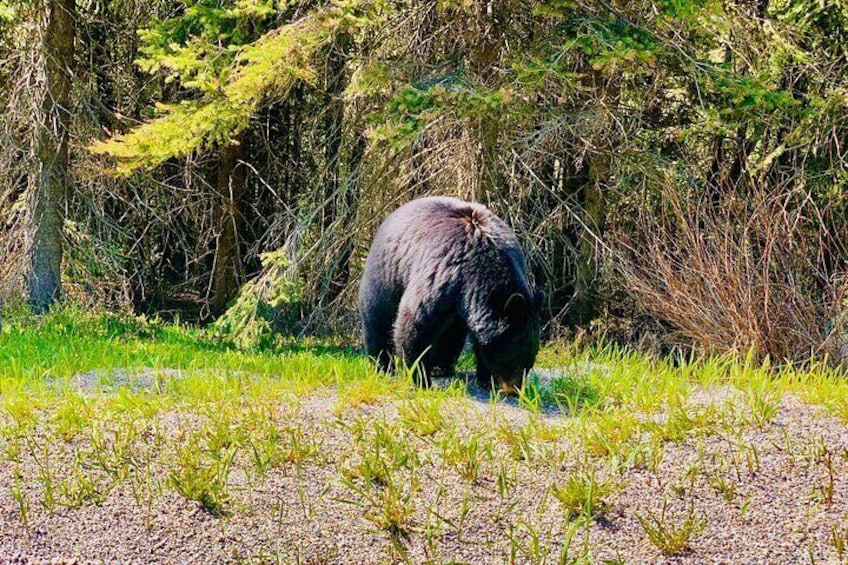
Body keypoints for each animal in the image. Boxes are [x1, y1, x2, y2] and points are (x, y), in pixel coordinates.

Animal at [358, 196, 543, 391]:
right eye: (513, 361)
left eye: (530, 361)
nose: (515, 391)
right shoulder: (441, 277)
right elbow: (414, 323)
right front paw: (420, 380)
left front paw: (486, 379)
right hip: (385, 273)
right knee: (378, 318)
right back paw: (383, 366)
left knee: (451, 334)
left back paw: (441, 367)